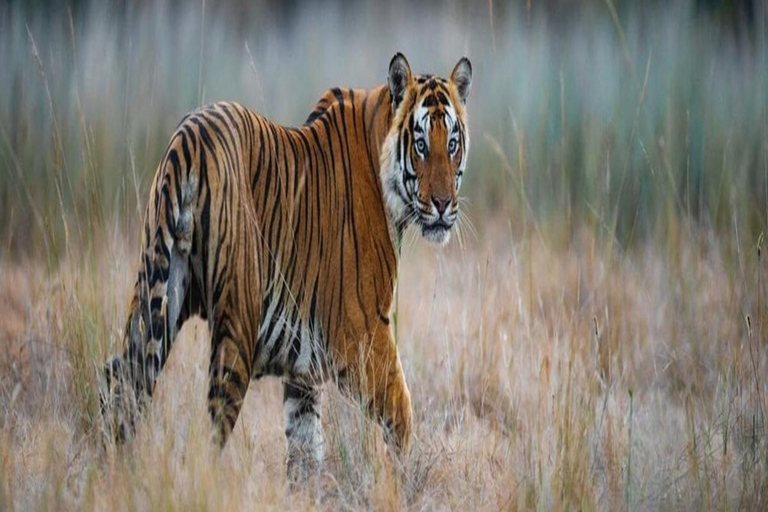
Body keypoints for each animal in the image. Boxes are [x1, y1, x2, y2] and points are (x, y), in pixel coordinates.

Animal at [99, 52, 472, 484]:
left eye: (452, 144)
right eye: (421, 146)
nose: (444, 205)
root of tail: (189, 137)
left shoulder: (304, 373)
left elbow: (305, 450)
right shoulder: (361, 333)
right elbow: (401, 414)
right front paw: (398, 484)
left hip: (156, 293)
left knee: (119, 380)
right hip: (237, 324)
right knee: (210, 424)